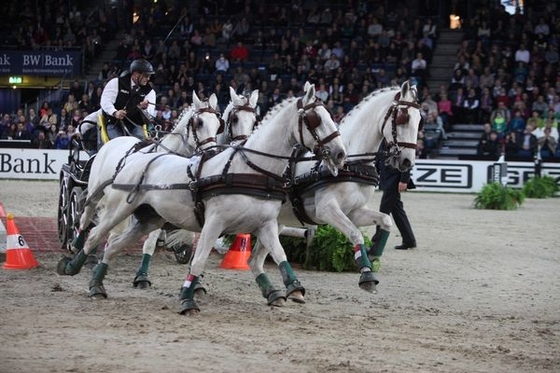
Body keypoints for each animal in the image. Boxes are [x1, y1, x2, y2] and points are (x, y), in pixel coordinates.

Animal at [57, 83, 346, 312]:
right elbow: (198, 259)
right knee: (93, 231)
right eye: (314, 119)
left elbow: (279, 253)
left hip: (148, 219)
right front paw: (187, 296)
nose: (340, 153)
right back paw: (73, 263)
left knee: (114, 245)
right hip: (115, 208)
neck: (249, 170)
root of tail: (136, 155)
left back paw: (96, 283)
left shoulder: (265, 225)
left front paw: (289, 289)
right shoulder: (213, 223)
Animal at [252, 81, 422, 294]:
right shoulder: (326, 210)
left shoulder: (354, 211)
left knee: (256, 259)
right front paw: (367, 274)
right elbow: (355, 233)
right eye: (403, 117)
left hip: (274, 221)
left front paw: (372, 254)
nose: (408, 161)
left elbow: (386, 220)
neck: (352, 163)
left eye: (420, 119)